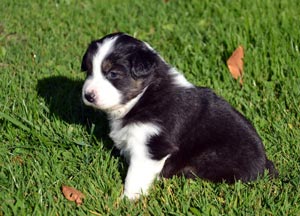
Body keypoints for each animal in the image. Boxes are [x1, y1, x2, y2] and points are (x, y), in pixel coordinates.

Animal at [81, 32, 278, 199]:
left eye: (113, 74)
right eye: (89, 71)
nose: (88, 95)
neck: (145, 95)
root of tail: (265, 165)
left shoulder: (153, 146)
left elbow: (135, 175)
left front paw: (126, 201)